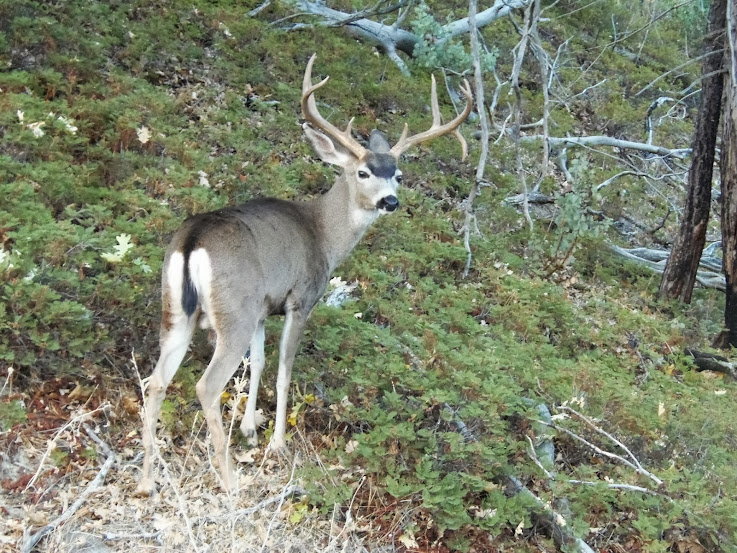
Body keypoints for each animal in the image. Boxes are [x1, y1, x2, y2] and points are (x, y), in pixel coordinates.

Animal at [137, 52, 472, 492]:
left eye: (398, 174)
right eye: (363, 172)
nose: (391, 201)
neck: (323, 236)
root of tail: (194, 240)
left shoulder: (264, 309)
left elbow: (259, 363)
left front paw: (249, 428)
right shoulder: (301, 299)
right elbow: (283, 369)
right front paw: (277, 442)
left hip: (178, 308)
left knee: (156, 381)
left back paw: (146, 479)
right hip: (233, 310)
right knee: (206, 386)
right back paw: (230, 480)